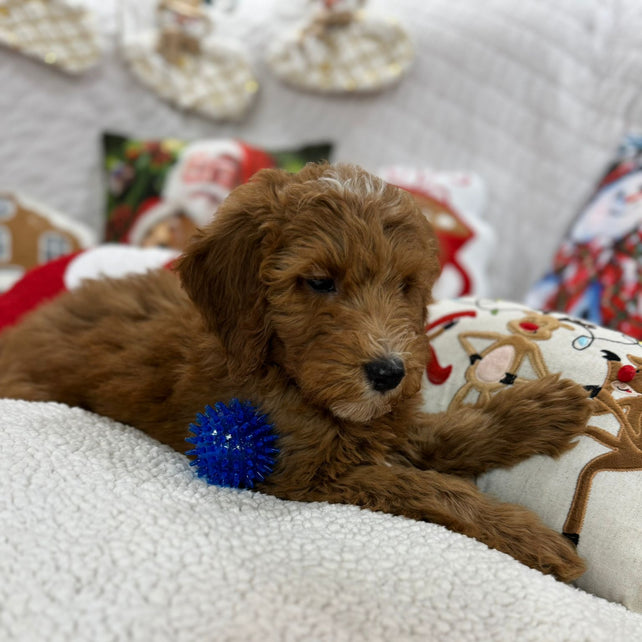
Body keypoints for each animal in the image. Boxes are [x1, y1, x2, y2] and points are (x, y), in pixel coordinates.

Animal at [0, 164, 592, 580]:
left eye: (405, 286)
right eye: (321, 282)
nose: (388, 373)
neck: (283, 373)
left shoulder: (378, 425)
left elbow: (450, 432)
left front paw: (539, 410)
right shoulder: (304, 476)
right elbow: (424, 485)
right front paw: (528, 536)